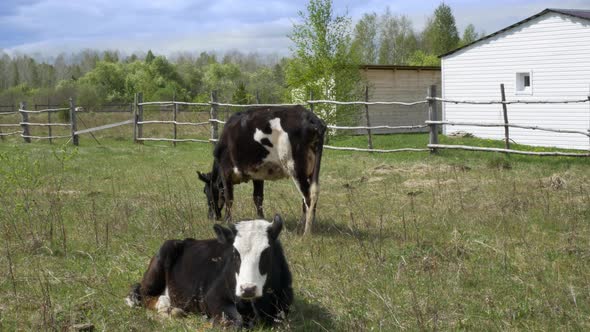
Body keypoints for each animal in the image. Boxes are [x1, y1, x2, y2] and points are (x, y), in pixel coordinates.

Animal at [126, 215, 292, 326]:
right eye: (234, 253)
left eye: (266, 252)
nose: (248, 289)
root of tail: (185, 241)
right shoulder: (213, 296)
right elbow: (234, 321)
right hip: (161, 259)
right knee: (143, 295)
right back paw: (167, 307)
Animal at [199, 105, 328, 235]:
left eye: (205, 191)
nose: (210, 216)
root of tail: (310, 117)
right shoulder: (257, 174)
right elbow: (258, 198)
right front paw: (260, 220)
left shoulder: (226, 172)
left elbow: (229, 197)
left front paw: (227, 221)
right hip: (310, 171)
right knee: (312, 195)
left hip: (295, 168)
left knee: (308, 197)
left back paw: (305, 231)